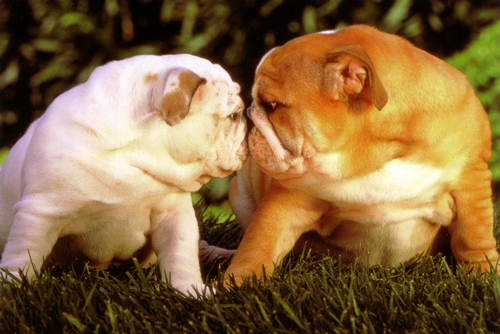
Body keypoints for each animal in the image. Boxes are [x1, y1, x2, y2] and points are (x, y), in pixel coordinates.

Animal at [0, 54, 249, 294]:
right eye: (234, 116)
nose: (248, 124)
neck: (136, 154)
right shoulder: (40, 212)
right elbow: (22, 255)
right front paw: (13, 287)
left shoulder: (173, 215)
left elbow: (181, 254)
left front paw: (190, 289)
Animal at [226, 24, 496, 284]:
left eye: (270, 105)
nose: (249, 115)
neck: (380, 156)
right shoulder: (290, 197)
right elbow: (259, 242)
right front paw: (238, 285)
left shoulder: (471, 181)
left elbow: (474, 236)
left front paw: (484, 276)